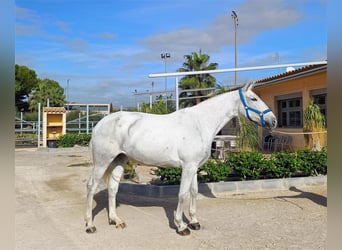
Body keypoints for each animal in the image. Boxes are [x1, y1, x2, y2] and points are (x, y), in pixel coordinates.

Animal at [84, 81, 276, 235]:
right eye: (253, 99)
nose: (273, 121)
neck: (199, 124)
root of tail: (100, 124)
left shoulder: (194, 167)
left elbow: (194, 192)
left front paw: (194, 222)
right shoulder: (188, 166)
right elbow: (183, 194)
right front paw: (181, 226)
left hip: (119, 160)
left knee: (112, 188)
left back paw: (115, 220)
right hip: (102, 162)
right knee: (91, 186)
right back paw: (90, 225)